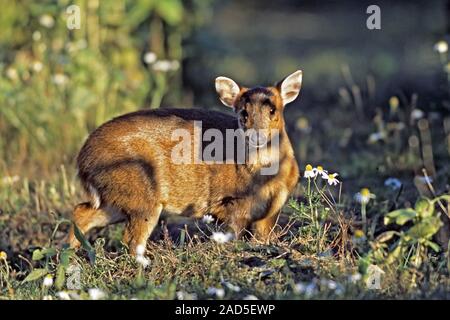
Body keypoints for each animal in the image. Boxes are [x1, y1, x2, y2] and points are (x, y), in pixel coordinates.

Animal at [68, 70, 302, 255]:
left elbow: (263, 237)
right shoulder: (232, 203)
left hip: (117, 196)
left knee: (82, 211)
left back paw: (70, 254)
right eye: (243, 113)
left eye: (272, 110)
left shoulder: (271, 211)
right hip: (140, 191)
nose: (256, 136)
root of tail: (82, 160)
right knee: (131, 239)